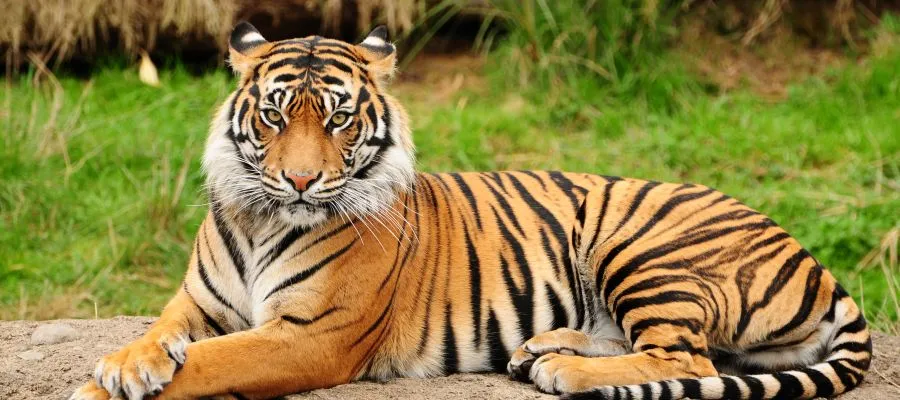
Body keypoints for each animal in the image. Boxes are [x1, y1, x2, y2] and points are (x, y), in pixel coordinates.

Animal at [70, 22, 871, 400]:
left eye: (337, 120)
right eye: (273, 116)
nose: (299, 181)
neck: (263, 216)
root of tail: (816, 263)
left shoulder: (310, 336)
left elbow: (211, 362)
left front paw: (97, 386)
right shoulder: (197, 303)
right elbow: (162, 335)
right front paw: (125, 363)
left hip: (638, 242)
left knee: (684, 355)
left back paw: (562, 370)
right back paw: (543, 348)